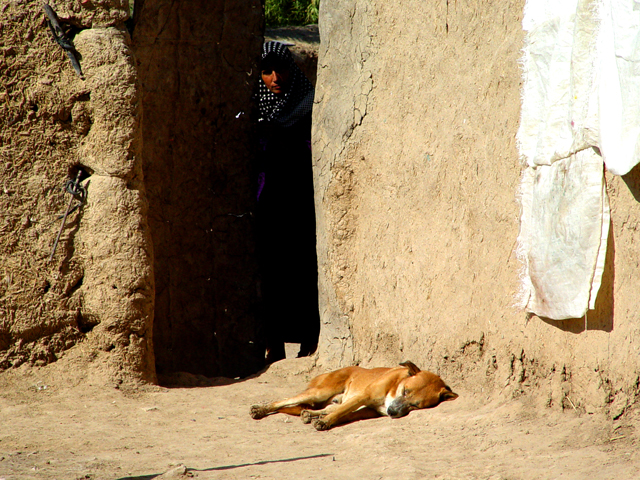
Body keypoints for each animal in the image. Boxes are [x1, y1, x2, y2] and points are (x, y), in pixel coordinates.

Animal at [249, 360, 456, 432]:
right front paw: (325, 422)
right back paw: (260, 409)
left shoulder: (368, 411)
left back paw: (309, 414)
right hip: (318, 392)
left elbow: (344, 414)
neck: (395, 384)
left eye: (415, 405)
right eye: (405, 391)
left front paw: (323, 420)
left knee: (324, 408)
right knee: (282, 401)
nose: (392, 412)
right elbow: (341, 412)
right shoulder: (362, 397)